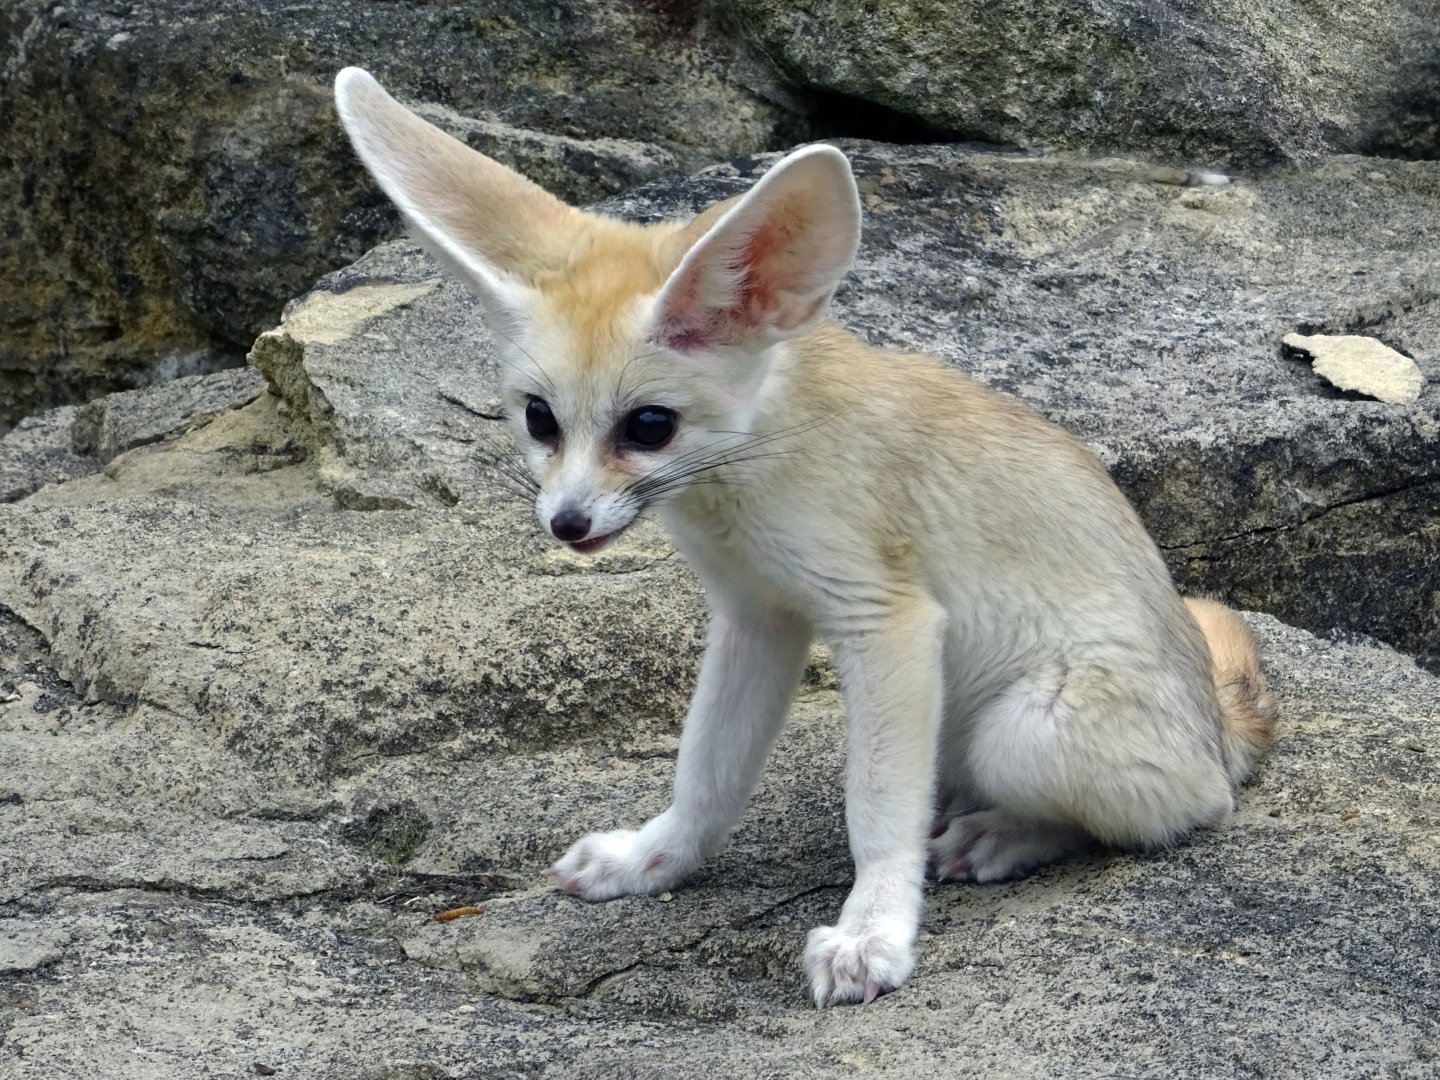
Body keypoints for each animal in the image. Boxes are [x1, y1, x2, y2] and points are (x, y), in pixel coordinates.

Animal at [333, 67, 1278, 1007]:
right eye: (539, 419)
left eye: (648, 426)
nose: (566, 525)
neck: (753, 464)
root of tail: (1218, 723)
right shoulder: (755, 618)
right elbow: (708, 769)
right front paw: (653, 859)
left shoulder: (886, 622)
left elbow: (878, 811)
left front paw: (873, 933)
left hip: (1023, 733)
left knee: (1191, 808)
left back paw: (1004, 835)